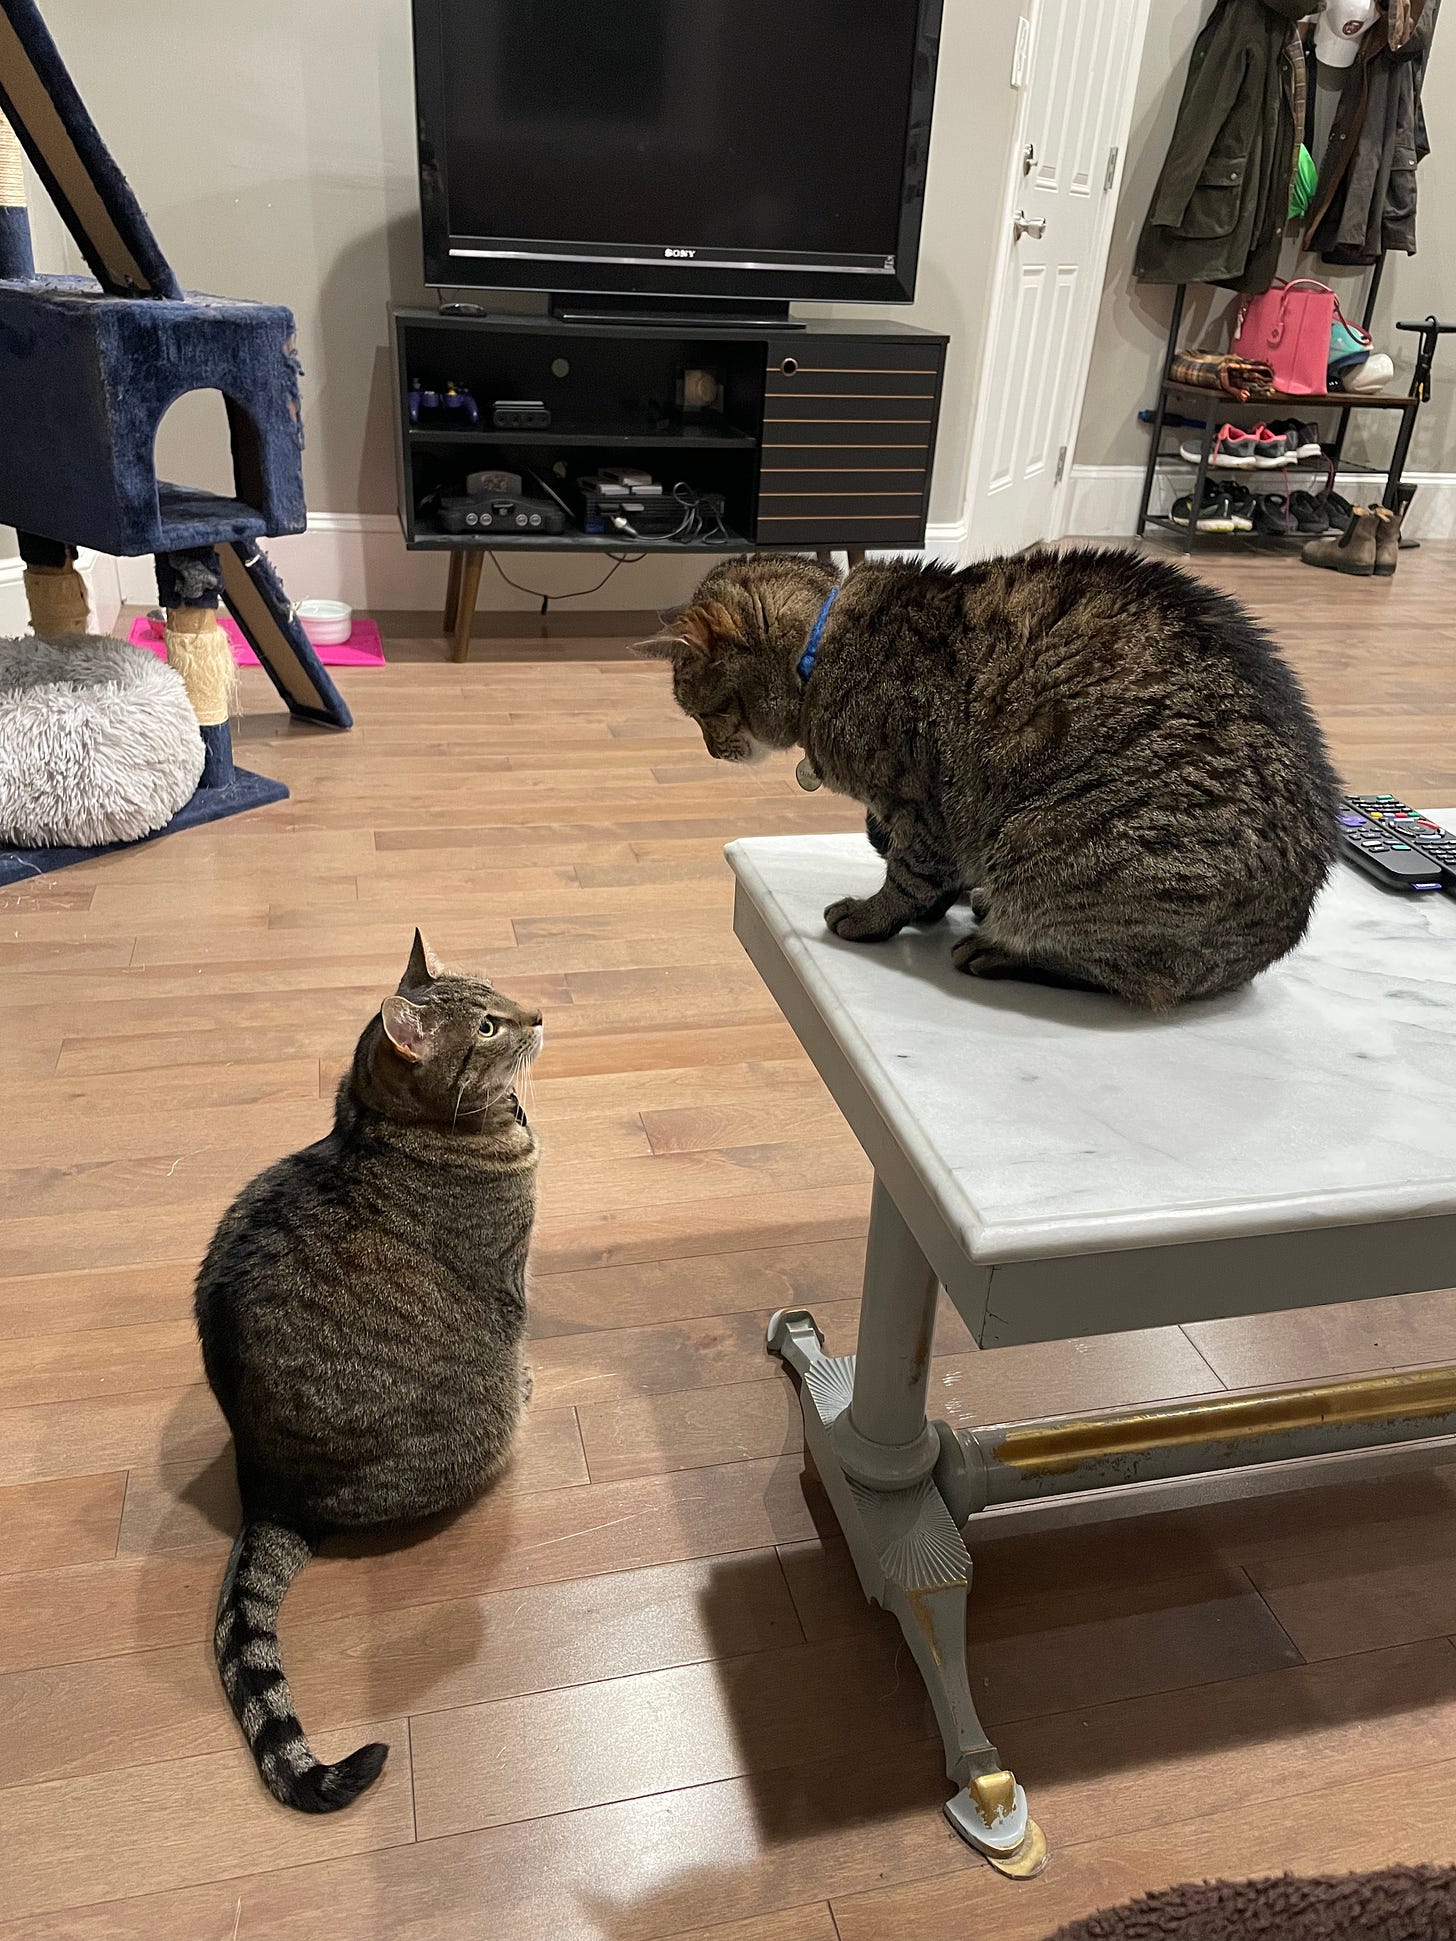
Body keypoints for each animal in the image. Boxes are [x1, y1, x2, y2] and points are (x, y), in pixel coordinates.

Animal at [191, 931, 539, 1809]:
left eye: (500, 992)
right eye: (489, 1026)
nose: (540, 1013)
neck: (381, 1125)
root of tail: (269, 1491)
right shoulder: (514, 1274)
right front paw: (530, 1378)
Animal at [644, 543, 1343, 1001]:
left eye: (700, 713)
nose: (712, 751)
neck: (824, 648)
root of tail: (1275, 938)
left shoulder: (919, 801)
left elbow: (909, 875)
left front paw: (873, 916)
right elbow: (925, 871)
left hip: (1058, 847)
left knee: (1138, 979)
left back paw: (997, 951)